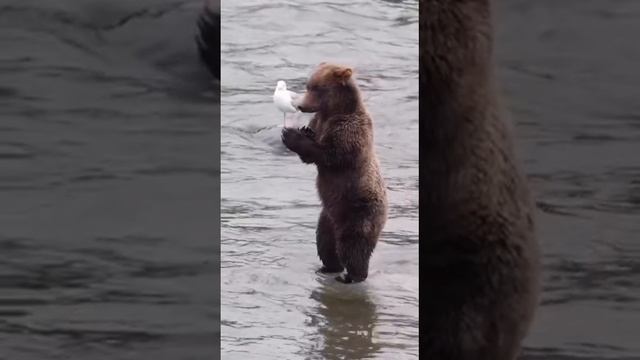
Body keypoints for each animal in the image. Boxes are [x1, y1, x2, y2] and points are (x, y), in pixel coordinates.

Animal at [282, 63, 388, 286]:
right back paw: (327, 267)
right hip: (328, 217)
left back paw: (352, 276)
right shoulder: (319, 121)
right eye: (308, 85)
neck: (333, 112)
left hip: (359, 211)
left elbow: (332, 155)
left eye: (316, 88)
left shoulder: (350, 130)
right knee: (325, 243)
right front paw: (303, 131)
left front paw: (291, 134)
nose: (300, 105)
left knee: (353, 246)